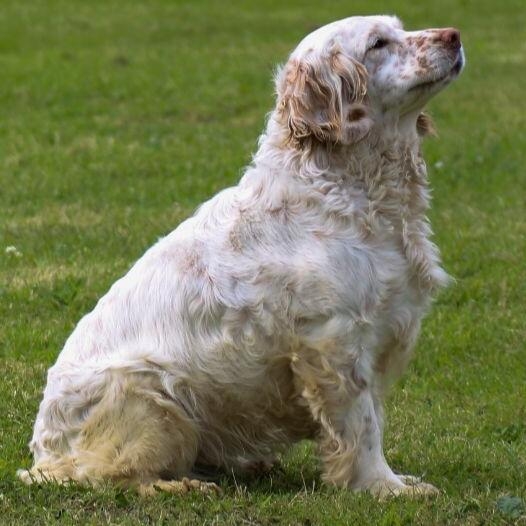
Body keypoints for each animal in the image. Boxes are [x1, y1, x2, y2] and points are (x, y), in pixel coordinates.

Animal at [18, 13, 466, 500]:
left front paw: (395, 480)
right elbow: (363, 426)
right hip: (152, 397)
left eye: (400, 28)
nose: (453, 36)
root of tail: (45, 453)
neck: (349, 186)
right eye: (378, 43)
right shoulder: (335, 339)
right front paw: (383, 486)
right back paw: (187, 485)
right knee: (116, 476)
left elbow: (374, 419)